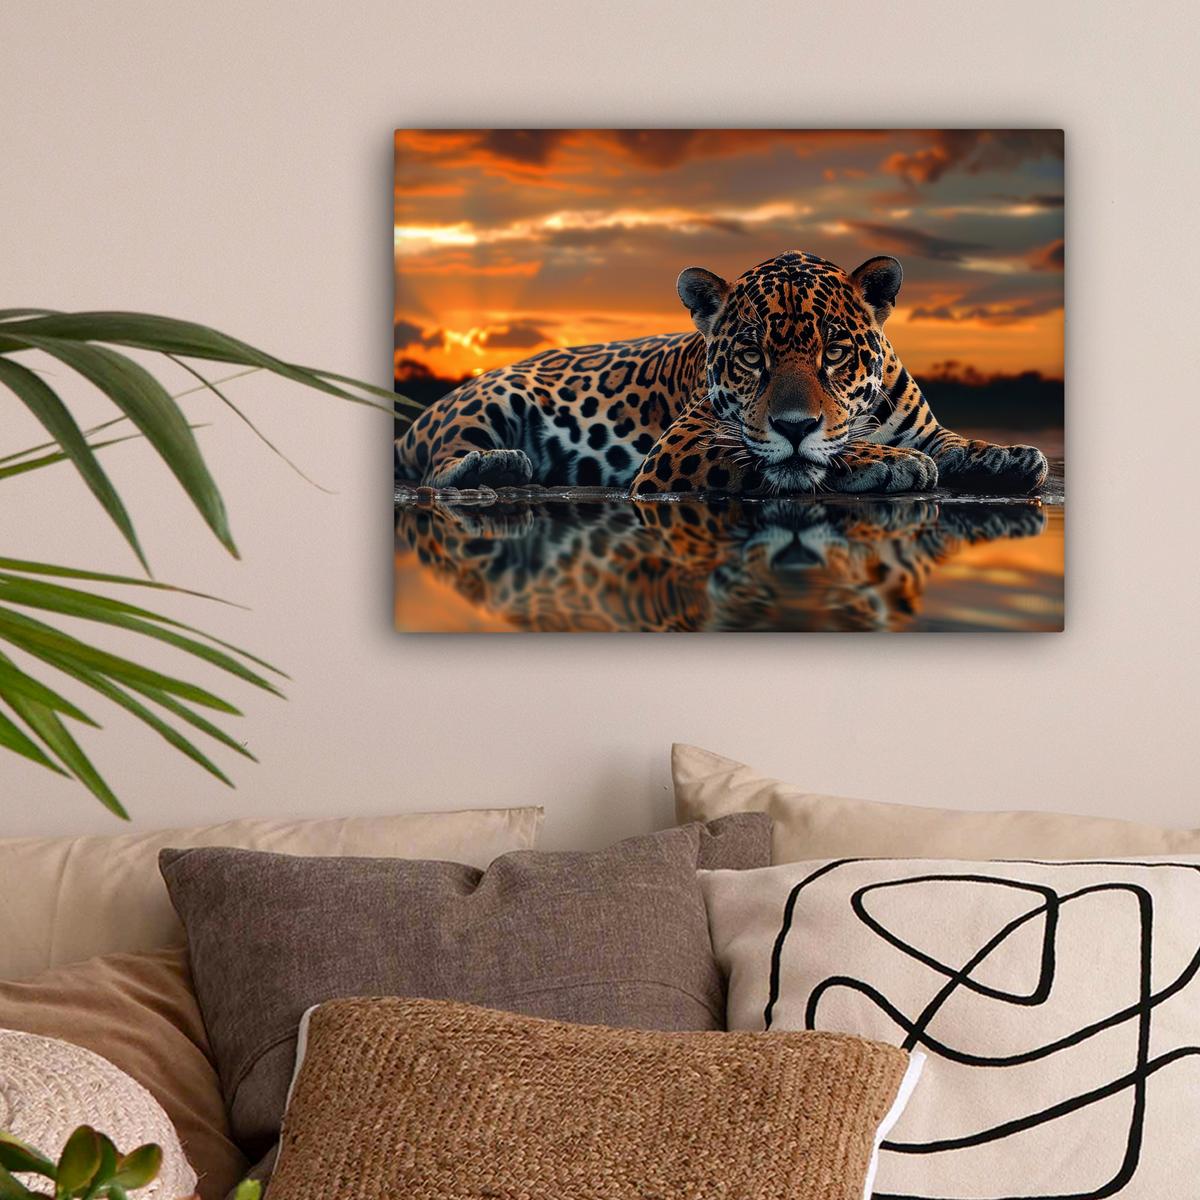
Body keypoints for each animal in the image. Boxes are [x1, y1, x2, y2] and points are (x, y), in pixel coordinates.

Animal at [394, 250, 1049, 498]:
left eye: (835, 352)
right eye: (752, 356)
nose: (794, 424)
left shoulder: (925, 428)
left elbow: (956, 442)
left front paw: (1010, 456)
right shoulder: (681, 447)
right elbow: (801, 458)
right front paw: (889, 464)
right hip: (490, 399)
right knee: (436, 465)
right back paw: (500, 464)